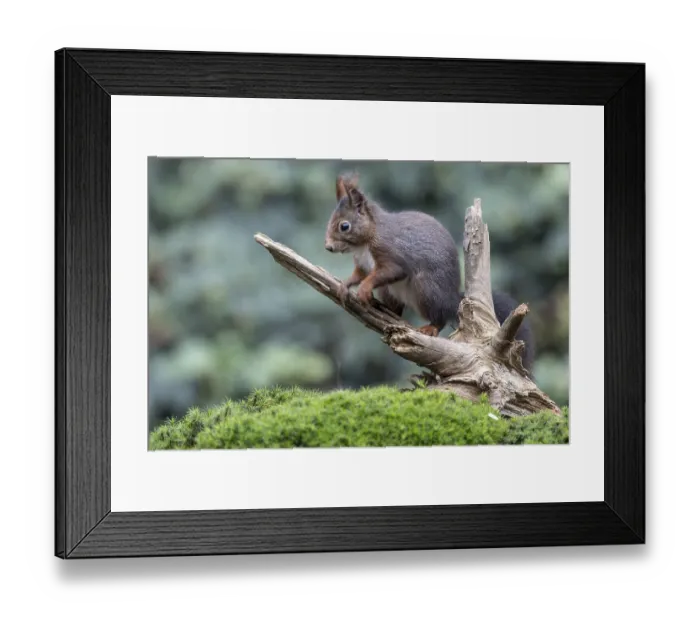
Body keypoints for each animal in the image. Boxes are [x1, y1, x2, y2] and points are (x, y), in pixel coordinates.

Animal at [324, 173, 535, 371]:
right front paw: (344, 286)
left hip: (427, 289)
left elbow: (387, 272)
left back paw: (431, 327)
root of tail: (452, 298)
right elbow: (358, 275)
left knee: (441, 315)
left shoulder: (390, 255)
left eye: (344, 226)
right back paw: (381, 307)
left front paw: (364, 288)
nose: (328, 247)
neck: (365, 241)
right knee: (396, 308)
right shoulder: (361, 264)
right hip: (390, 291)